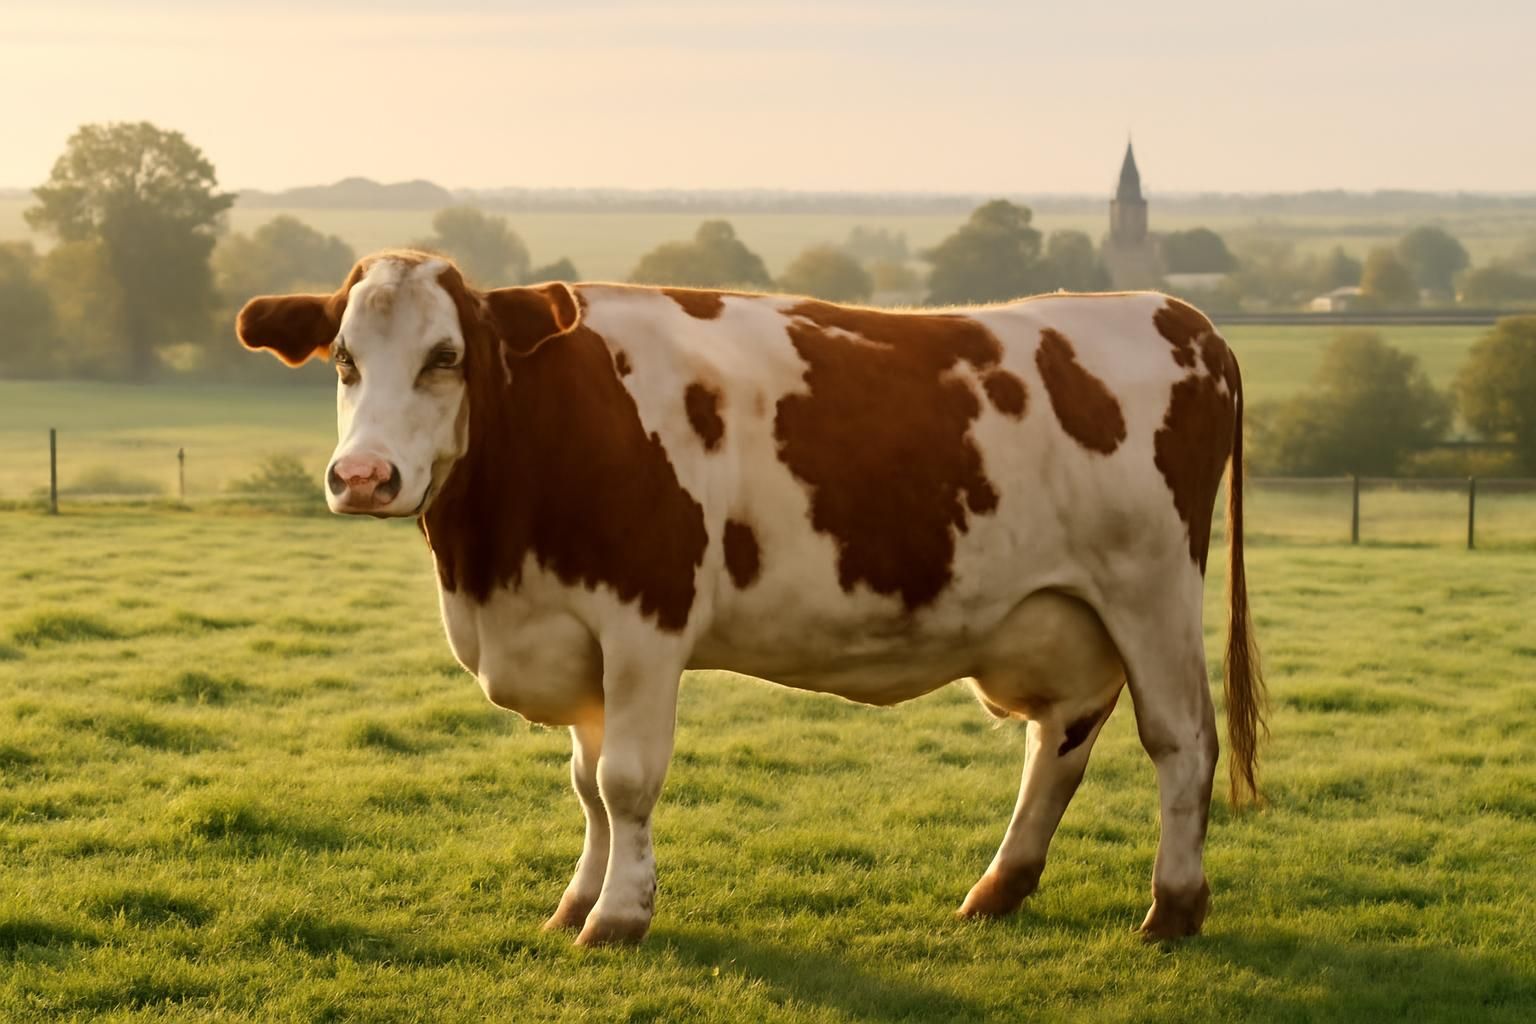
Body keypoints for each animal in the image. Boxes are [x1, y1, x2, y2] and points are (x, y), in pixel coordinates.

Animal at [236, 250, 1265, 947]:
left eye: (446, 355)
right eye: (342, 359)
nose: (363, 477)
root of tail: (1180, 315)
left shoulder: (645, 619)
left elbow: (627, 780)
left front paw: (618, 918)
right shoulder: (576, 635)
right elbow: (587, 786)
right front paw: (576, 900)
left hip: (1152, 588)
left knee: (1181, 739)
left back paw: (1173, 907)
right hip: (1066, 614)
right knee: (1060, 741)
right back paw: (998, 890)